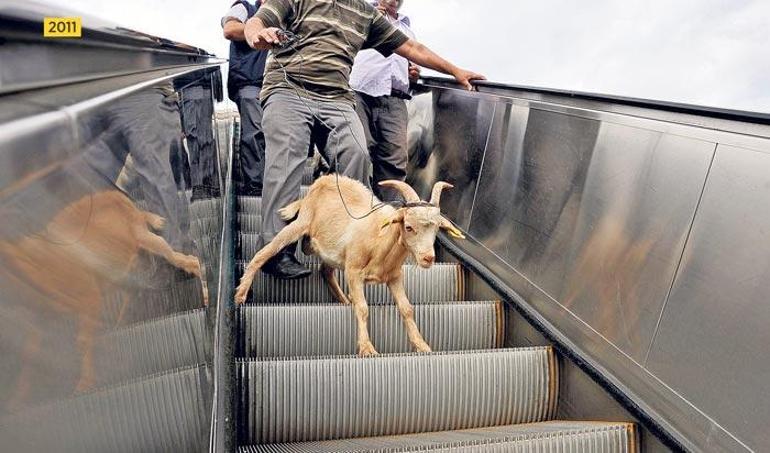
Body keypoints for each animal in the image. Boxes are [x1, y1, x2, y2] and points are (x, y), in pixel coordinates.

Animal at [0, 189, 206, 408]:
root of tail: (113, 193)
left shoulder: (90, 297)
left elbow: (82, 341)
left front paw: (84, 385)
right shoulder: (40, 318)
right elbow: (29, 354)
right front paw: (17, 400)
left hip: (143, 237)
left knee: (181, 258)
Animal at [232, 175, 462, 354]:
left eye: (437, 229)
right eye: (408, 227)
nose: (428, 258)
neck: (379, 240)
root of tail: (323, 179)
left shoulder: (395, 276)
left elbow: (407, 309)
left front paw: (421, 345)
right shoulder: (353, 271)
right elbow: (363, 308)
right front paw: (367, 348)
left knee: (325, 271)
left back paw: (344, 299)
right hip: (300, 223)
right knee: (264, 252)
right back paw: (241, 293)